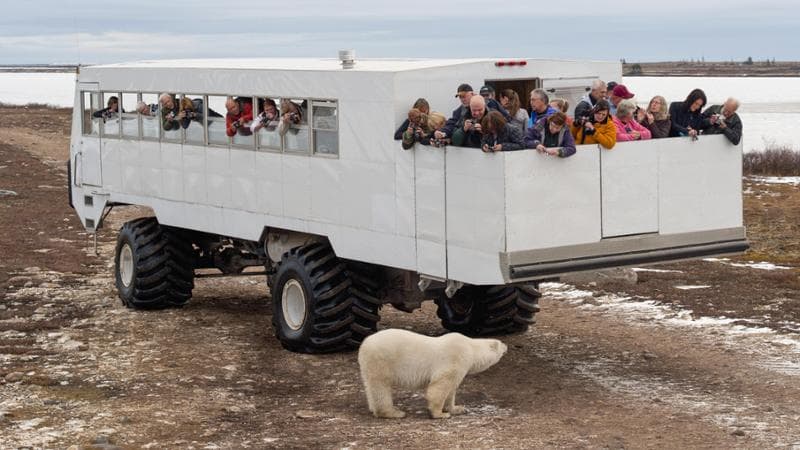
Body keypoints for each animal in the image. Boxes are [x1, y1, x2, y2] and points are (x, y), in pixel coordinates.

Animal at [357, 329, 507, 419]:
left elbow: (451, 389)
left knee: (370, 386)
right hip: (381, 360)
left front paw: (457, 408)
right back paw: (394, 412)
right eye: (501, 343)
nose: (507, 346)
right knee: (381, 387)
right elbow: (440, 385)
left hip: (368, 364)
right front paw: (440, 414)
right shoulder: (455, 358)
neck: (470, 348)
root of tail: (364, 344)